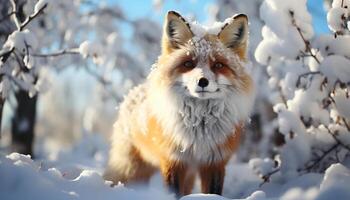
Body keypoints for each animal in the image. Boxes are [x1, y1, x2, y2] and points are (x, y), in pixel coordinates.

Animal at [103, 10, 254, 196]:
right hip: (132, 169)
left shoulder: (214, 162)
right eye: (188, 63)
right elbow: (173, 192)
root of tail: (134, 93)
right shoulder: (173, 161)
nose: (202, 81)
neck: (199, 129)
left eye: (218, 65)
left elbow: (212, 192)